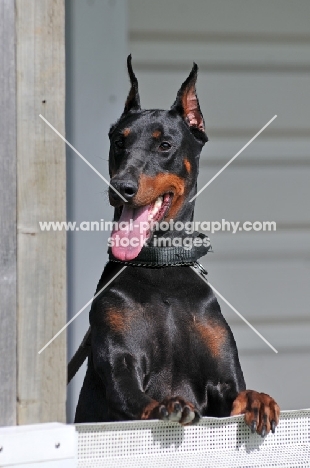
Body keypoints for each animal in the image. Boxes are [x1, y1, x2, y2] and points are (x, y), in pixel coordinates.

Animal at [74, 57, 280, 436]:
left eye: (165, 145)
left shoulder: (223, 380)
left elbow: (240, 395)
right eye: (119, 142)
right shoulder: (120, 363)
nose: (120, 186)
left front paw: (259, 400)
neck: (161, 266)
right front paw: (168, 404)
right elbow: (134, 397)